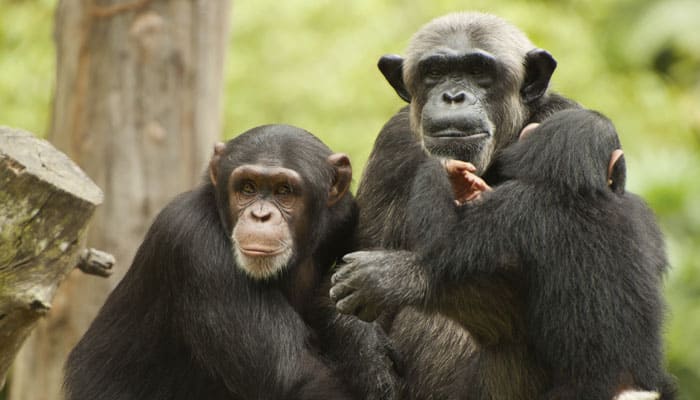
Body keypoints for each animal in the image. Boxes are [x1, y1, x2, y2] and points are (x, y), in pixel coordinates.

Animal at [64, 125, 400, 400]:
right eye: (247, 187)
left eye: (284, 191)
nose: (261, 215)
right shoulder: (194, 245)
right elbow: (297, 377)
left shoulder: (343, 215)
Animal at [334, 108, 680, 400]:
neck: (576, 189)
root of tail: (625, 387)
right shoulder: (639, 213)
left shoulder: (511, 208)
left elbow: (446, 241)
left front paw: (444, 170)